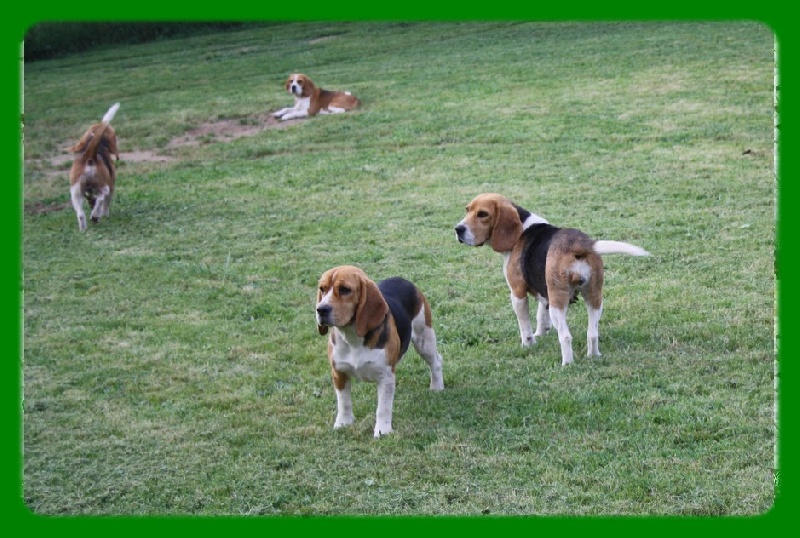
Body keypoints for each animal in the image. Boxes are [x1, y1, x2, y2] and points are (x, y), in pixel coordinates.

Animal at [68, 103, 120, 231]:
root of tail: (90, 157)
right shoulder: (111, 186)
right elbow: (105, 204)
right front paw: (105, 214)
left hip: (75, 191)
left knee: (80, 213)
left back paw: (83, 228)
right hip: (104, 186)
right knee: (102, 198)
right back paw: (96, 216)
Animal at [315, 265, 444, 437]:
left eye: (345, 289)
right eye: (322, 289)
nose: (321, 309)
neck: (352, 337)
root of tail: (402, 280)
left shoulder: (385, 376)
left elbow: (383, 408)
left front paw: (382, 431)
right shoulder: (339, 372)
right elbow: (344, 402)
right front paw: (343, 423)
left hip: (424, 339)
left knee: (436, 361)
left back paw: (437, 387)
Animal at [455, 193, 649, 366]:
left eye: (483, 214)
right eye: (467, 209)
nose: (458, 229)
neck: (523, 228)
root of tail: (578, 243)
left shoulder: (517, 293)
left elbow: (524, 325)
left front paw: (528, 344)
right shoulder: (545, 290)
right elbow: (541, 315)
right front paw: (541, 333)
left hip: (559, 303)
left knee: (565, 336)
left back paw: (567, 364)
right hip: (594, 297)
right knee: (592, 333)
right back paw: (593, 356)